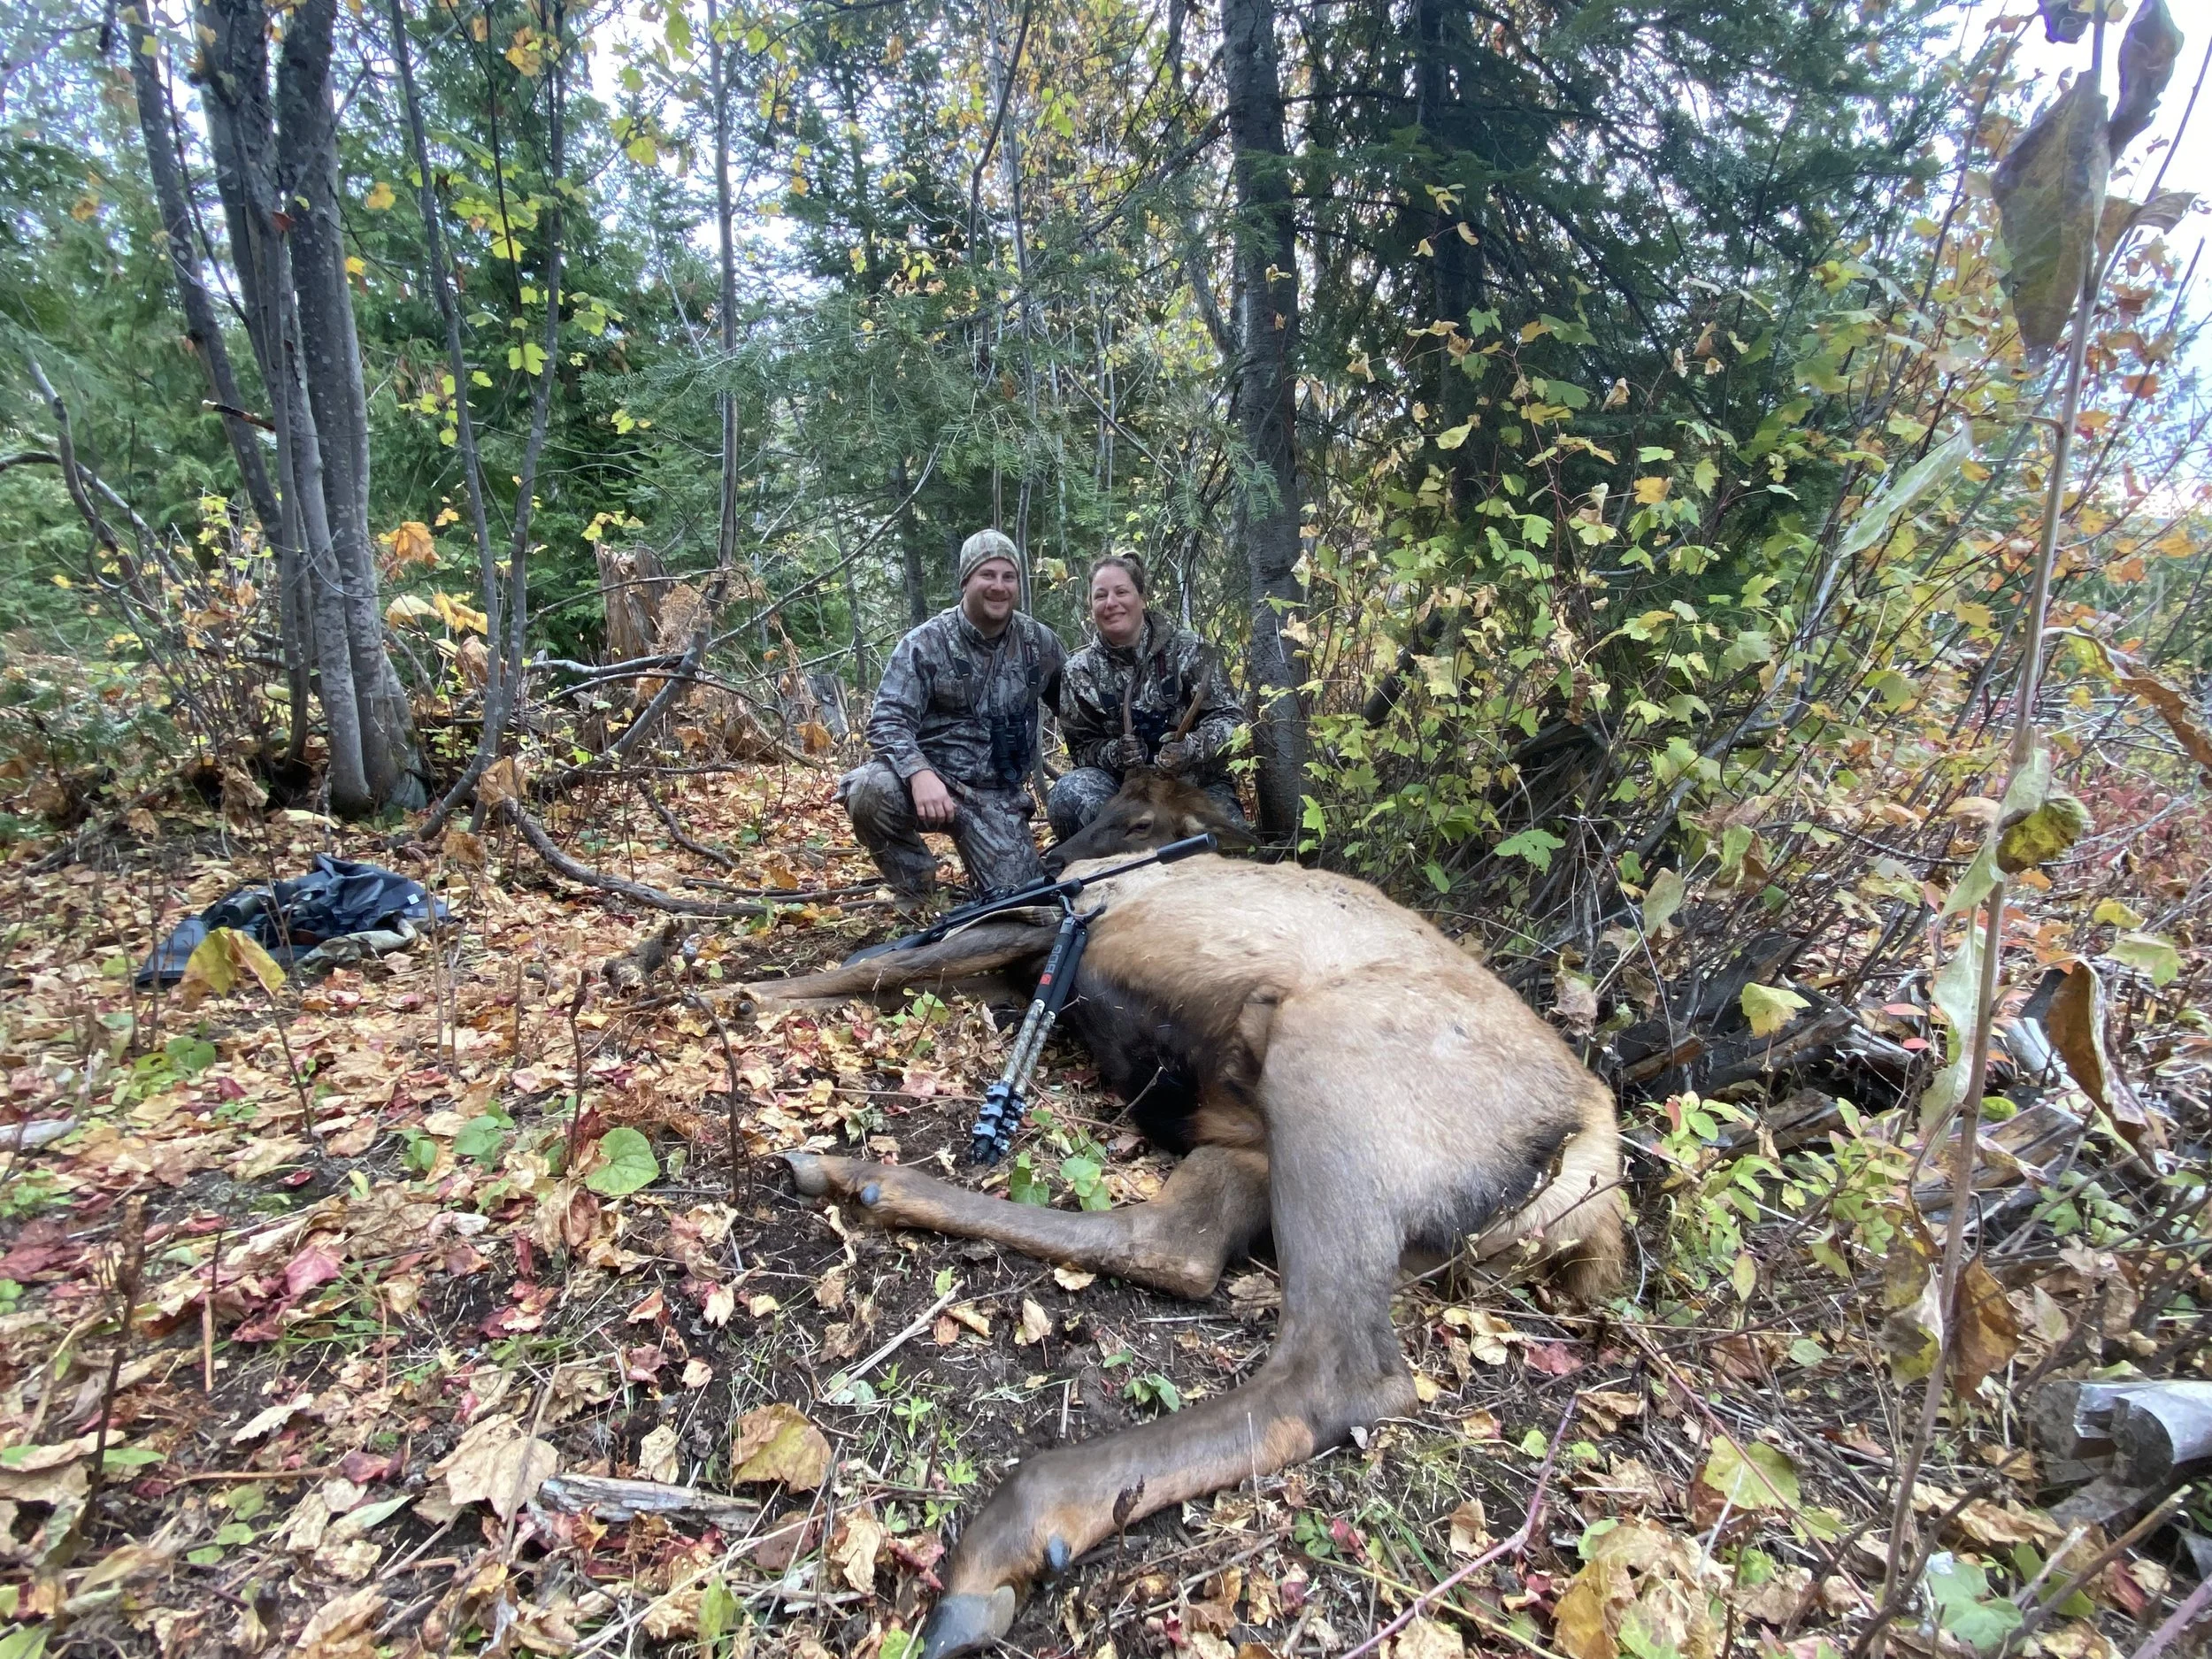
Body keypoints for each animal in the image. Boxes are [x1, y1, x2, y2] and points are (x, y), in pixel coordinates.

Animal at [748, 769, 1626, 1659]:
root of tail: (1593, 1177)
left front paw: (734, 989)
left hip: (1333, 1064)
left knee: (1340, 1368)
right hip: (1251, 1131)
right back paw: (861, 1177)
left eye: (1132, 817)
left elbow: (880, 965)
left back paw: (1016, 1527)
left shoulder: (1050, 920)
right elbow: (890, 969)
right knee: (1176, 1244)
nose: (1056, 860)